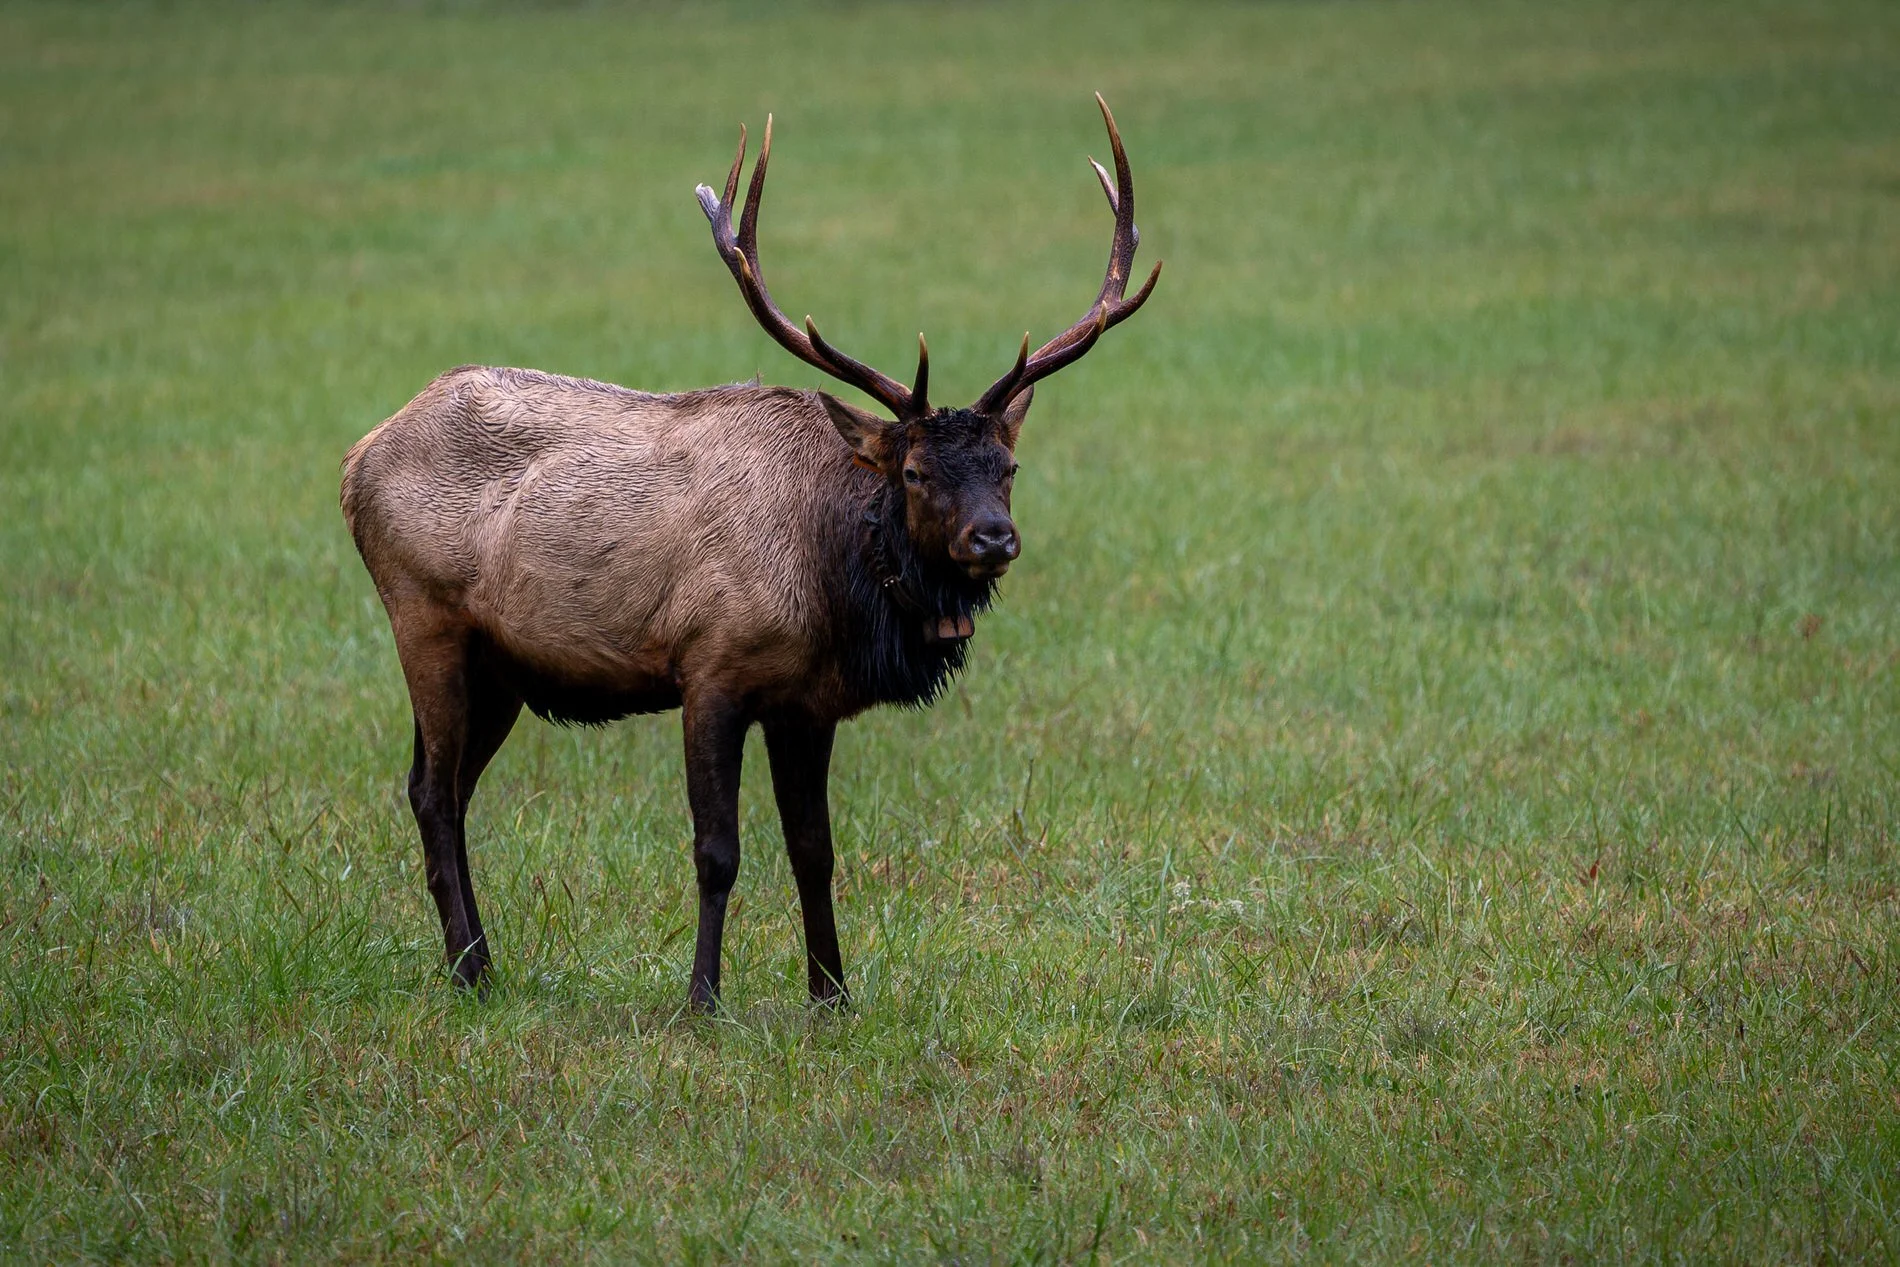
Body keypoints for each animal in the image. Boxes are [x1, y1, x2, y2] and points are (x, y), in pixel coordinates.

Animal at [340, 95, 1160, 1010]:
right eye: (913, 470)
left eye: (1007, 466)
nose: (992, 536)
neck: (832, 582)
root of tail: (356, 459)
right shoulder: (711, 667)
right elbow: (717, 850)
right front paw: (702, 998)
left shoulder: (807, 701)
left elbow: (815, 851)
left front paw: (833, 994)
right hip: (425, 619)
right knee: (434, 792)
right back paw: (470, 972)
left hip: (502, 668)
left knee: (443, 785)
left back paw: (479, 961)